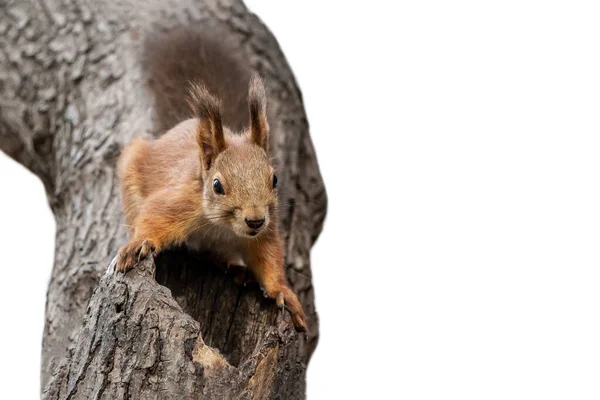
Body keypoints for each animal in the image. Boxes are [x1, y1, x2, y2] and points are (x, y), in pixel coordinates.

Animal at [115, 28, 308, 332]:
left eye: (275, 179)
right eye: (217, 185)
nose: (255, 220)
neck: (222, 227)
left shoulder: (265, 232)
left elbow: (269, 258)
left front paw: (283, 292)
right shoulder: (180, 200)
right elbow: (153, 216)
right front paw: (139, 243)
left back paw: (237, 270)